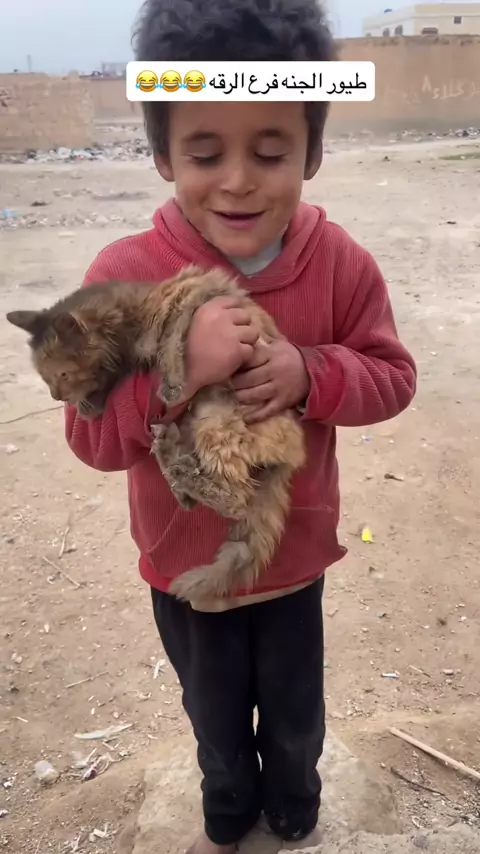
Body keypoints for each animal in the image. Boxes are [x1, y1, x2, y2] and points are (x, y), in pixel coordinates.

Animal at [6, 266, 306, 603]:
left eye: (62, 375)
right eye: (45, 378)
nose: (57, 397)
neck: (128, 320)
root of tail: (291, 455)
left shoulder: (194, 294)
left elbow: (172, 339)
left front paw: (171, 381)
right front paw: (91, 404)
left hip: (215, 421)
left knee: (238, 498)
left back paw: (181, 472)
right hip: (196, 418)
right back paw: (174, 467)